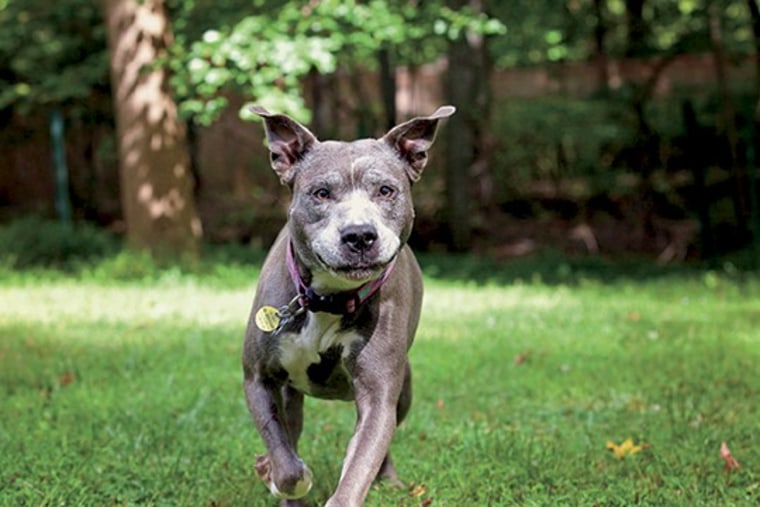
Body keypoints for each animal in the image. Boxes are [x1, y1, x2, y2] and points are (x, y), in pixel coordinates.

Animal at [242, 105, 458, 506]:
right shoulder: (257, 378)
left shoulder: (378, 397)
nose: (359, 235)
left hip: (404, 389)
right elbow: (287, 461)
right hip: (290, 393)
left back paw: (389, 480)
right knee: (290, 433)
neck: (329, 298)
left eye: (386, 190)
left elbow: (360, 464)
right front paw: (275, 474)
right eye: (321, 193)